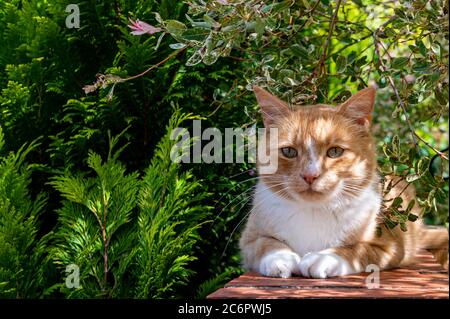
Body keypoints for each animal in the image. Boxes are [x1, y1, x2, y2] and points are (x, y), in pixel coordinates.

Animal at [239, 86, 446, 278]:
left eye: (335, 151)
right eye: (289, 151)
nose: (310, 175)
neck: (314, 212)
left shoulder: (391, 246)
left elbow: (356, 249)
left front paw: (322, 258)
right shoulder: (248, 239)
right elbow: (266, 243)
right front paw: (281, 258)